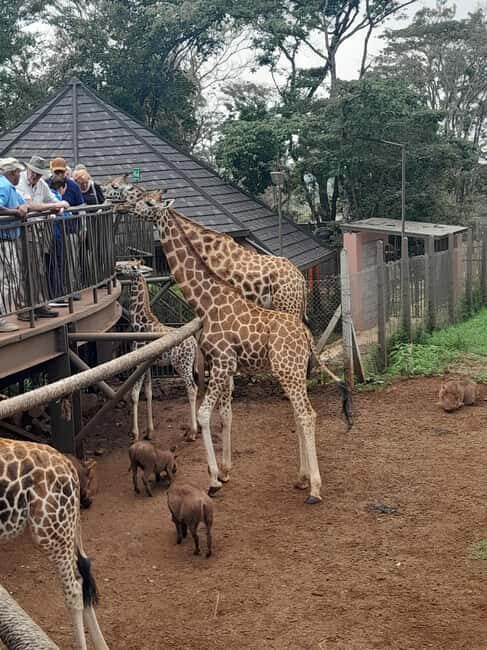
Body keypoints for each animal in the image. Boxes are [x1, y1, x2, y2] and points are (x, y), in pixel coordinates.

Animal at [0, 437, 109, 650]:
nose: (89, 501)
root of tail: (67, 466)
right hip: (65, 526)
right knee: (81, 578)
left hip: (50, 529)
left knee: (74, 591)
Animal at [116, 260, 199, 441]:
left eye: (132, 266)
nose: (117, 265)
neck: (140, 324)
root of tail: (194, 343)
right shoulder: (146, 366)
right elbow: (148, 393)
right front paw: (149, 431)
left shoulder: (138, 363)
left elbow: (134, 395)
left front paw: (135, 434)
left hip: (182, 365)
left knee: (192, 388)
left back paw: (192, 432)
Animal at [132, 198, 352, 504]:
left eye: (148, 202)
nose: (122, 204)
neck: (206, 303)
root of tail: (308, 337)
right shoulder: (223, 365)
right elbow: (223, 414)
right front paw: (223, 472)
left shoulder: (222, 362)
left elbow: (204, 415)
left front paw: (214, 480)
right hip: (293, 372)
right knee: (300, 414)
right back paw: (301, 478)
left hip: (287, 370)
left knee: (307, 414)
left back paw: (315, 489)